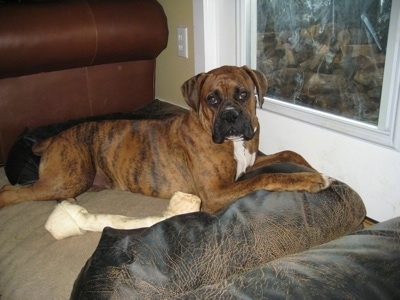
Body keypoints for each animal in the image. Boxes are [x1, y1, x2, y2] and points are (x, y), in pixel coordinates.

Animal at [0, 65, 330, 212]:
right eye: (211, 99)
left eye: (243, 94)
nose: (230, 116)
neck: (233, 143)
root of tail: (54, 139)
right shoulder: (215, 194)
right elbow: (268, 177)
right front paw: (308, 180)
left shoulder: (251, 162)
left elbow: (288, 154)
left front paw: (314, 169)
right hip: (70, 176)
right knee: (11, 191)